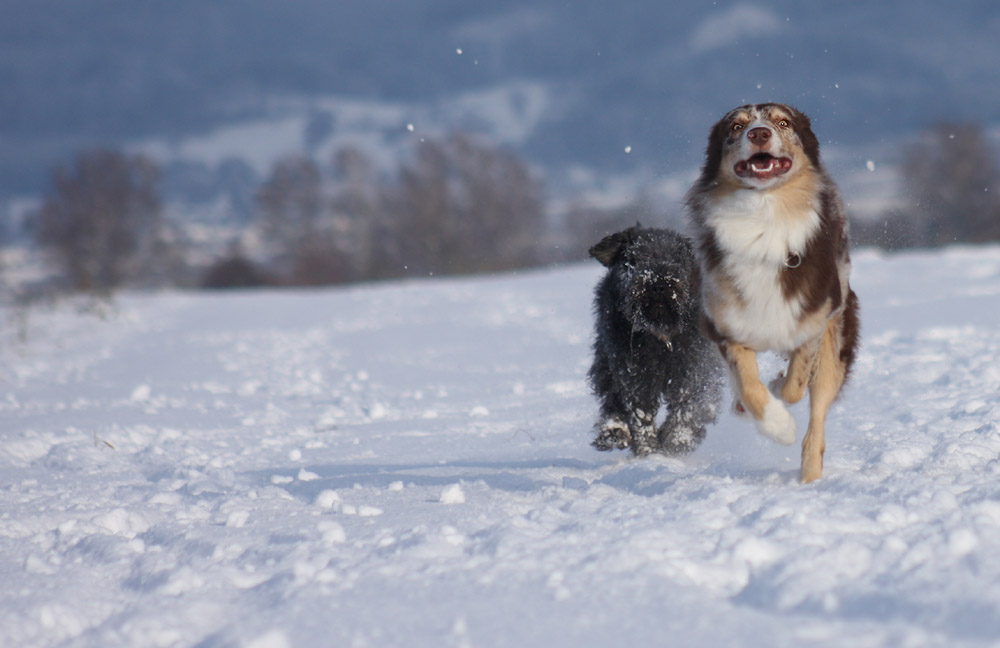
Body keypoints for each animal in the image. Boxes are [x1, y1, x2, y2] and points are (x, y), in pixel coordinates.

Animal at [584, 227, 720, 456]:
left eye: (678, 258)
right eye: (632, 259)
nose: (658, 283)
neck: (660, 335)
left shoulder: (694, 371)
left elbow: (687, 408)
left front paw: (676, 441)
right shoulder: (634, 375)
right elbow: (640, 415)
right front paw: (649, 451)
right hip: (606, 364)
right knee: (612, 401)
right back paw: (614, 432)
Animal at [688, 104, 860, 484]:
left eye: (783, 122)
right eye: (736, 127)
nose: (759, 133)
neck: (765, 214)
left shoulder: (814, 322)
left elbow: (795, 384)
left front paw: (780, 389)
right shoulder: (724, 326)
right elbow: (750, 387)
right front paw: (779, 427)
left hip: (838, 337)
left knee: (817, 419)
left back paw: (809, 479)